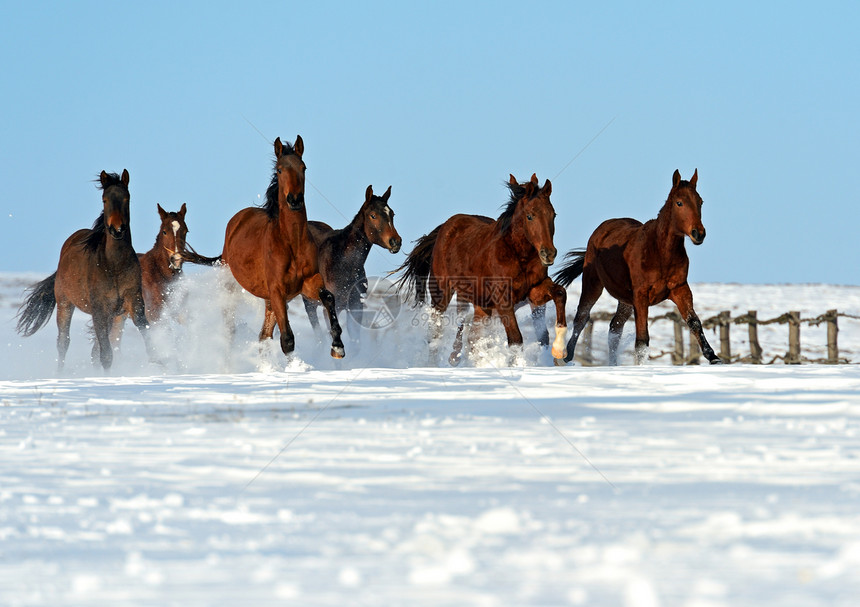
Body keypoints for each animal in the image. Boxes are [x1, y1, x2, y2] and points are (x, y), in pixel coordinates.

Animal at [16, 171, 155, 370]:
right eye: (104, 199)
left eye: (126, 198)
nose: (117, 229)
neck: (114, 265)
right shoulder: (99, 311)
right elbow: (106, 355)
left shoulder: (134, 304)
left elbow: (145, 333)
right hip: (65, 304)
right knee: (63, 342)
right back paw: (59, 373)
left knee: (94, 349)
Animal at [222, 135, 346, 358]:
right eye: (280, 170)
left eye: (303, 167)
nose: (294, 200)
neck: (291, 244)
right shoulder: (277, 291)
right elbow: (287, 339)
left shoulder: (307, 283)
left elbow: (328, 297)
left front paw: (337, 346)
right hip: (233, 288)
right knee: (231, 329)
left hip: (269, 300)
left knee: (264, 336)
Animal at [300, 183, 402, 350]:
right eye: (373, 215)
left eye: (392, 214)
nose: (395, 242)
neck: (343, 262)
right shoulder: (329, 309)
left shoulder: (355, 307)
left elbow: (355, 343)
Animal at [394, 173, 568, 366]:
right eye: (530, 216)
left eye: (553, 215)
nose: (548, 253)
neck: (517, 255)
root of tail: (444, 228)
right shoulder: (503, 299)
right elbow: (515, 339)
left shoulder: (533, 291)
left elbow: (560, 293)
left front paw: (560, 349)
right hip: (441, 293)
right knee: (435, 332)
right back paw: (434, 363)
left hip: (482, 305)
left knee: (473, 338)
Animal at [556, 166, 724, 366]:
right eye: (679, 203)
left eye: (700, 202)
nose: (699, 233)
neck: (659, 253)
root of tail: (599, 232)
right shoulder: (641, 295)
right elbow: (643, 337)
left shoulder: (680, 289)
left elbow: (694, 322)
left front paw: (713, 357)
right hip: (593, 284)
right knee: (582, 318)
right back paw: (567, 356)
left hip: (625, 300)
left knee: (615, 328)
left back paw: (613, 364)